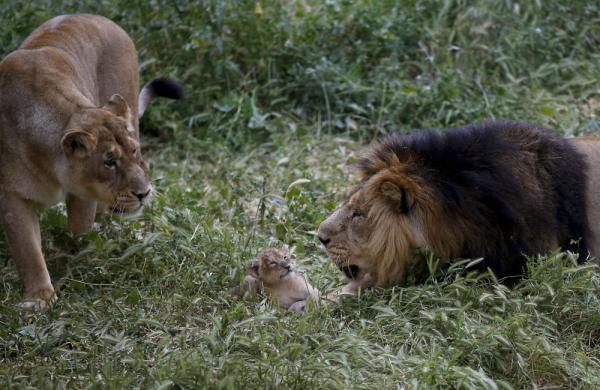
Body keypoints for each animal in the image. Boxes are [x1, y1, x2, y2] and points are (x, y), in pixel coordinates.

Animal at [0, 13, 183, 310]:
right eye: (109, 162)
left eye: (134, 151)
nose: (143, 193)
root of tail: (102, 18)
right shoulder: (11, 196)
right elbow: (28, 251)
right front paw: (40, 298)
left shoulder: (83, 193)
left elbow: (79, 226)